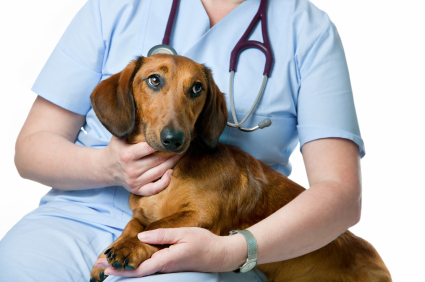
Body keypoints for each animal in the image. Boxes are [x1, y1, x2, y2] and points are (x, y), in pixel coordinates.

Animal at [88, 54, 390, 280]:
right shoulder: (140, 213)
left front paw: (129, 246)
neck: (173, 169)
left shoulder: (201, 215)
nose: (174, 139)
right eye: (153, 79)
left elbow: (155, 226)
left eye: (197, 88)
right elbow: (134, 224)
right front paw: (108, 252)